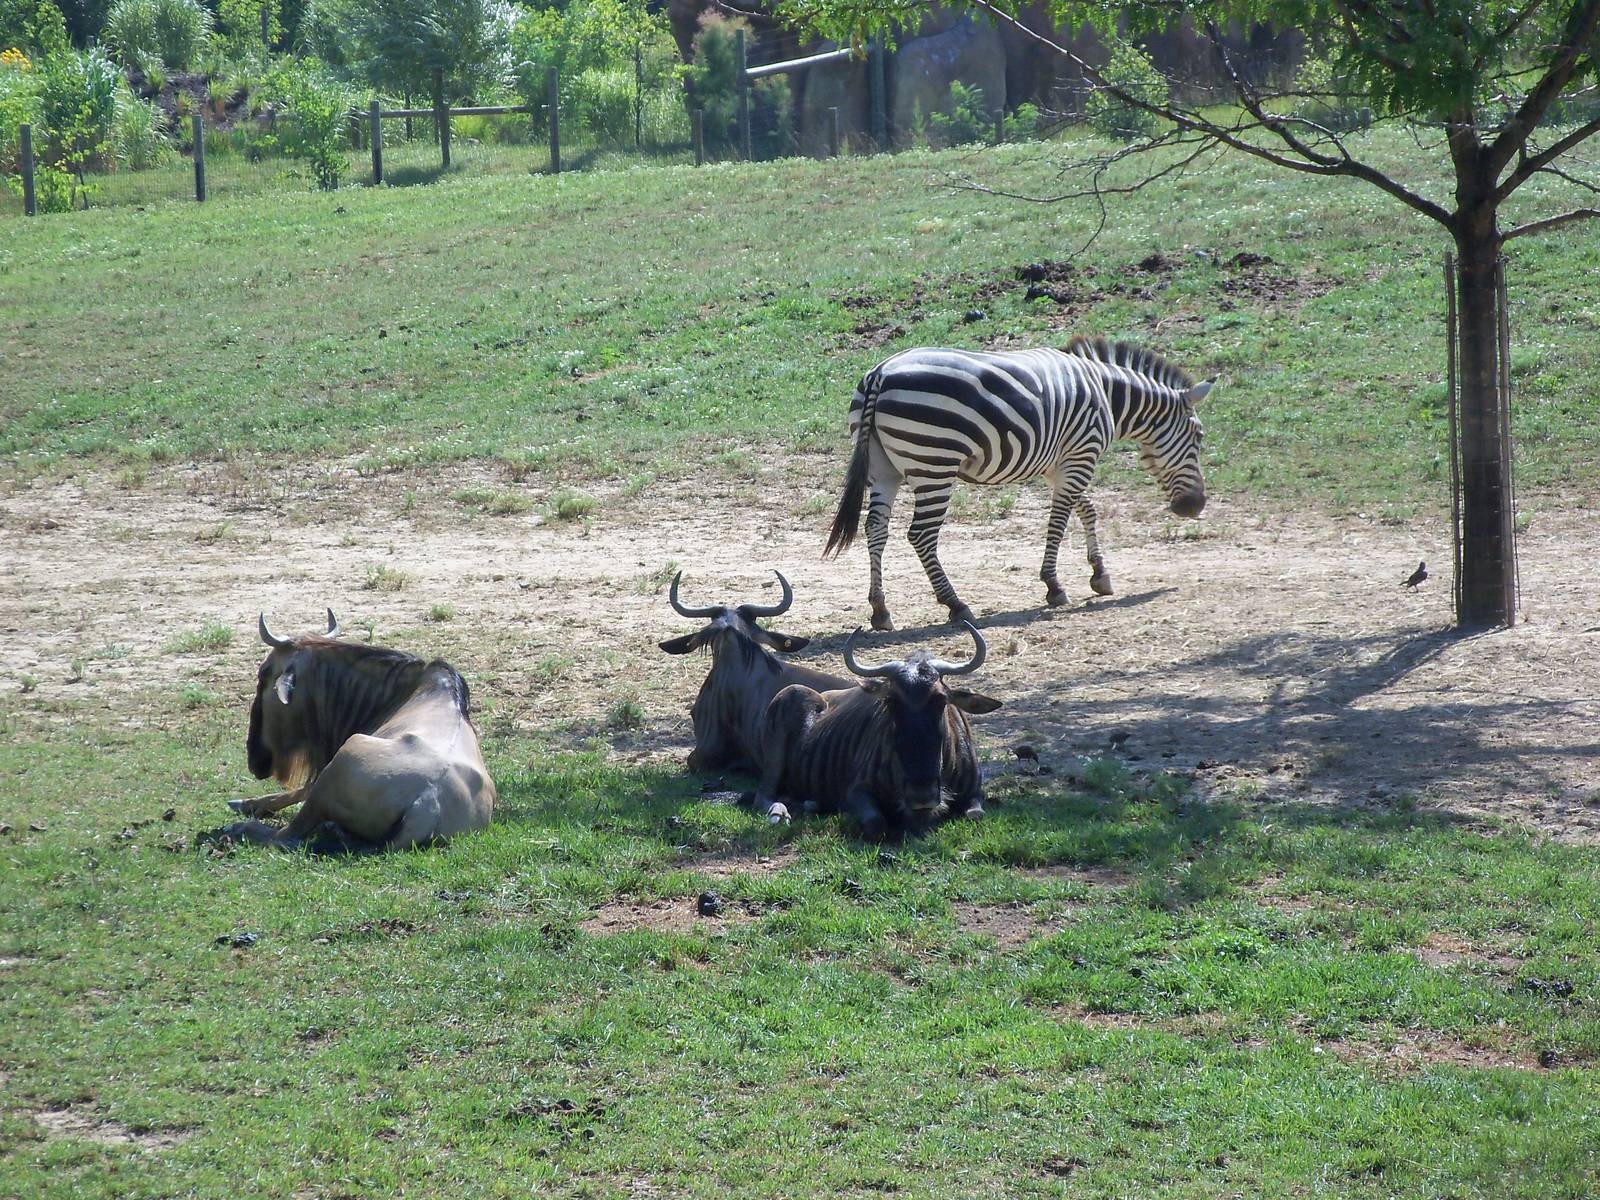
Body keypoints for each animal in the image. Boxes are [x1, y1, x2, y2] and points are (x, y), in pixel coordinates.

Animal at [824, 336, 1211, 631]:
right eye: (1199, 436)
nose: (1195, 507)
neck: (1108, 396)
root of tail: (880, 373)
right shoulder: (1080, 455)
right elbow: (1059, 520)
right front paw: (1054, 585)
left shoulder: (1060, 463)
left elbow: (1087, 508)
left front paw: (1099, 573)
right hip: (935, 463)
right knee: (921, 535)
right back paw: (956, 605)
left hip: (884, 468)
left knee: (876, 529)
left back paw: (880, 610)